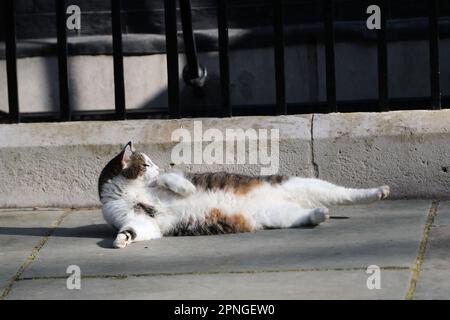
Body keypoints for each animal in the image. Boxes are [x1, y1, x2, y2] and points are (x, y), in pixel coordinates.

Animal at [98, 141, 390, 249]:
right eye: (146, 164)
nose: (158, 167)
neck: (132, 193)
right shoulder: (142, 222)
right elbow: (135, 230)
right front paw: (121, 240)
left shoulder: (165, 182)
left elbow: (174, 180)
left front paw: (185, 188)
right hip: (281, 215)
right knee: (306, 215)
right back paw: (320, 214)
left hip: (304, 184)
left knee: (345, 194)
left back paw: (378, 192)